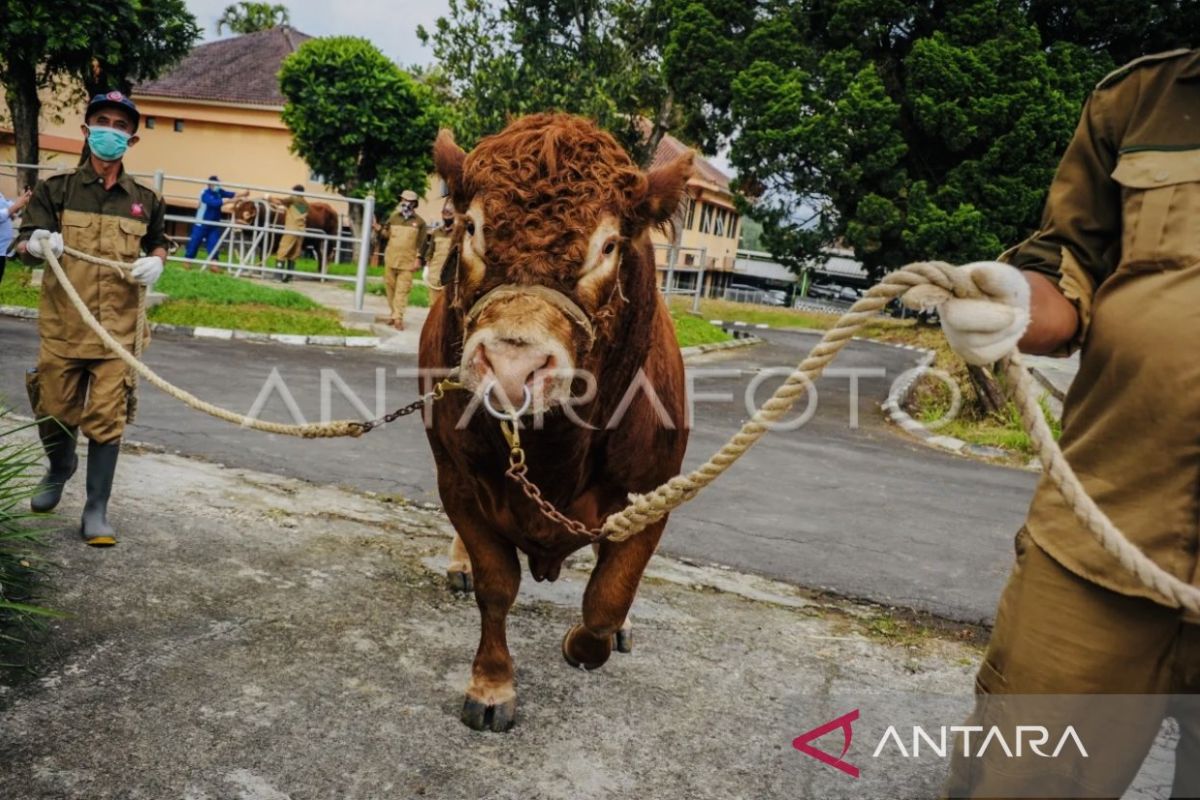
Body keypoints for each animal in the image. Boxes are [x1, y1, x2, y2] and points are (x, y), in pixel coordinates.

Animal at [417, 112, 696, 734]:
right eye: (471, 227)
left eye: (609, 245)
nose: (510, 366)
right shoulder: (458, 478)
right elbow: (497, 584)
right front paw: (491, 685)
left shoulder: (654, 489)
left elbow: (607, 599)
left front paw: (588, 643)